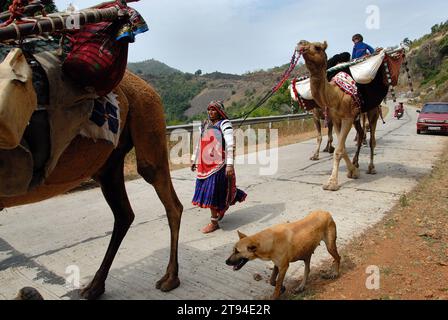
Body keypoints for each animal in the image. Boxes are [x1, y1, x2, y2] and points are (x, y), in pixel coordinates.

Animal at [0, 70, 184, 300]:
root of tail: (151, 89)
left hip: (147, 116)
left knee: (168, 199)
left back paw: (170, 278)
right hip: (109, 163)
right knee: (124, 214)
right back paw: (94, 286)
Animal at [298, 40, 384, 190]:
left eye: (317, 47)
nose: (301, 44)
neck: (335, 95)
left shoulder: (347, 118)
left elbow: (338, 149)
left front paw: (331, 183)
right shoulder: (335, 119)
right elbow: (341, 147)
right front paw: (353, 172)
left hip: (372, 111)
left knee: (372, 139)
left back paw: (371, 167)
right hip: (356, 118)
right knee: (360, 133)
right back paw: (356, 162)